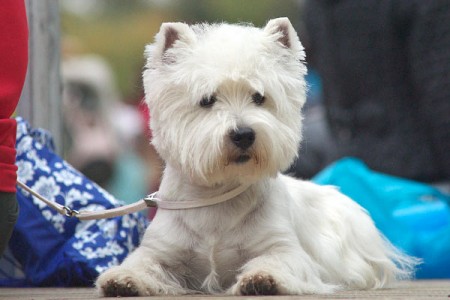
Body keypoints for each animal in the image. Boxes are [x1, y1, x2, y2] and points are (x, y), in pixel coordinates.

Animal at [96, 17, 416, 296]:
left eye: (259, 97)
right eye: (207, 100)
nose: (243, 134)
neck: (217, 198)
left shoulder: (283, 247)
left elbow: (276, 260)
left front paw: (262, 279)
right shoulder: (162, 249)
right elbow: (143, 263)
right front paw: (122, 280)